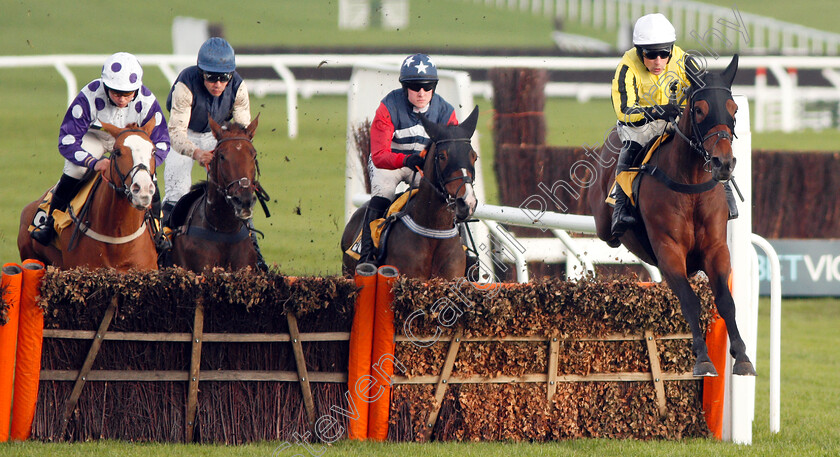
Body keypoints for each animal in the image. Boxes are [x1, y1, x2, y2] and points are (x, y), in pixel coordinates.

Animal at [588, 55, 756, 378]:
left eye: (734, 109)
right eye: (700, 109)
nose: (724, 163)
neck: (690, 185)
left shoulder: (716, 248)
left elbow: (726, 301)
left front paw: (742, 356)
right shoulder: (669, 249)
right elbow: (689, 301)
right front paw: (702, 359)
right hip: (603, 221)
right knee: (607, 231)